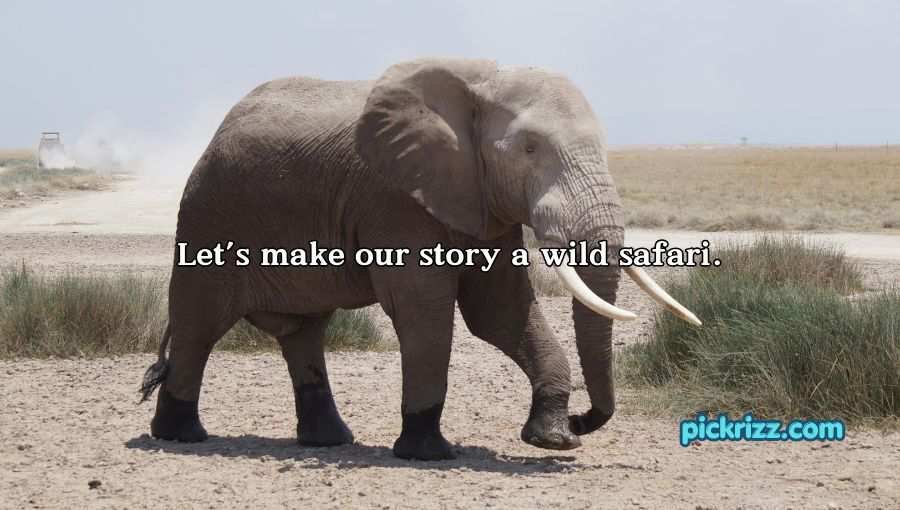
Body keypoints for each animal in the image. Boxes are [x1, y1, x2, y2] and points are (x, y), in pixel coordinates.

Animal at [140, 57, 700, 460]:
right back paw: (180, 436)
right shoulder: (397, 198)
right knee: (199, 326)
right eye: (530, 149)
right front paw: (428, 453)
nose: (585, 419)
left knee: (304, 332)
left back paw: (329, 441)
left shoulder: (480, 203)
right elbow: (424, 307)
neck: (482, 82)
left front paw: (553, 440)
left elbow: (500, 311)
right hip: (209, 215)